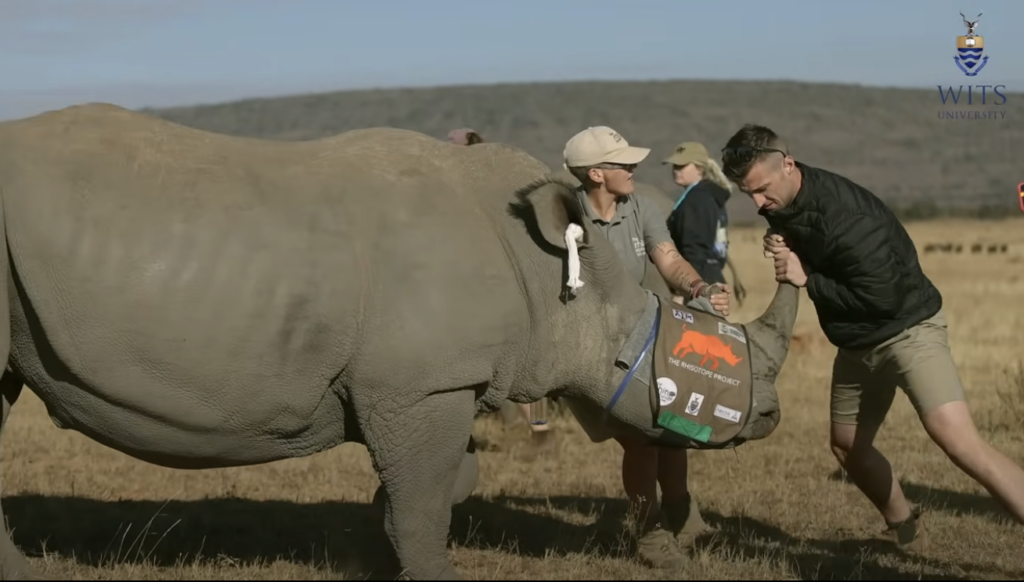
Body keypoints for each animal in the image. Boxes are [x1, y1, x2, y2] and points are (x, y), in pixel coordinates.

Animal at [0, 103, 798, 580]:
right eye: (628, 352)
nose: (769, 417)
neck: (551, 270)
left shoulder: (430, 382)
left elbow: (437, 484)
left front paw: (377, 532)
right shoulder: (424, 385)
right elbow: (423, 501)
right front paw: (430, 567)